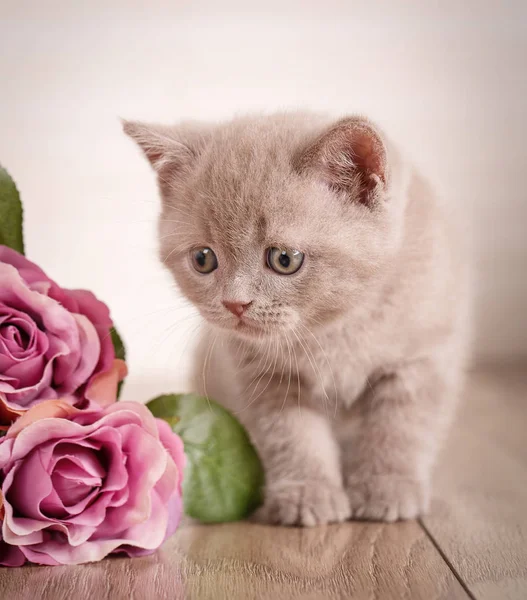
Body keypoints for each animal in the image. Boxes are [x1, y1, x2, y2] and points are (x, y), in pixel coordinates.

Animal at [126, 112, 472, 524]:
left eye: (284, 259)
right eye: (203, 259)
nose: (235, 303)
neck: (335, 330)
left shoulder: (420, 360)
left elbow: (400, 427)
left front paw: (387, 487)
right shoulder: (267, 377)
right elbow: (292, 435)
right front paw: (308, 493)